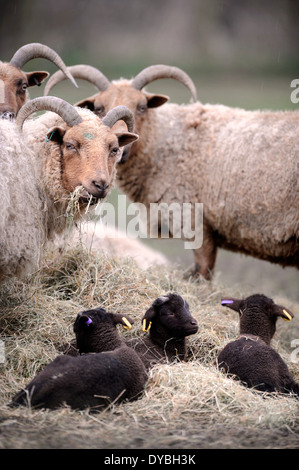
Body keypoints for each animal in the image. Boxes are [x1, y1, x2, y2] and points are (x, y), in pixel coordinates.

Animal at [44, 64, 299, 280]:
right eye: (98, 108)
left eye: (143, 106)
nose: (119, 150)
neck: (166, 141)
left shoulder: (196, 223)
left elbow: (203, 274)